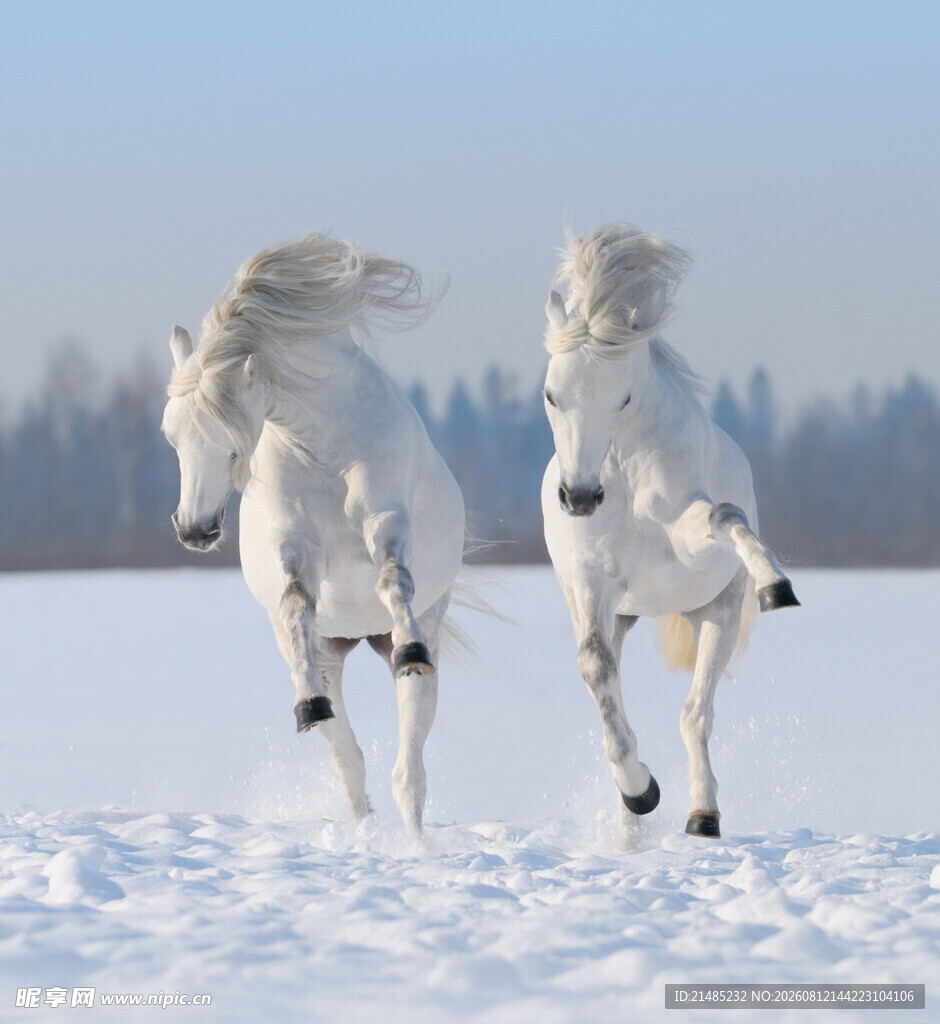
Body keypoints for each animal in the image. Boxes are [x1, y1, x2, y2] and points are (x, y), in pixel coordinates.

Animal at [161, 233, 465, 833]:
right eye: (172, 437)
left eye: (232, 445)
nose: (194, 530)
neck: (325, 448)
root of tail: (358, 636)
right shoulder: (294, 547)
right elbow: (296, 604)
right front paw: (306, 704)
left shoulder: (386, 521)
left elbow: (393, 579)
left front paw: (410, 647)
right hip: (330, 652)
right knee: (349, 761)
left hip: (418, 638)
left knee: (409, 770)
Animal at [540, 223, 799, 839]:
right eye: (551, 394)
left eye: (623, 397)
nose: (579, 497)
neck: (622, 473)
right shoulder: (592, 583)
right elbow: (595, 668)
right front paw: (640, 793)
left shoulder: (686, 536)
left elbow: (725, 516)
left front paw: (777, 585)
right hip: (621, 614)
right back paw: (631, 827)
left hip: (716, 614)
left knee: (695, 714)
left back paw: (703, 815)